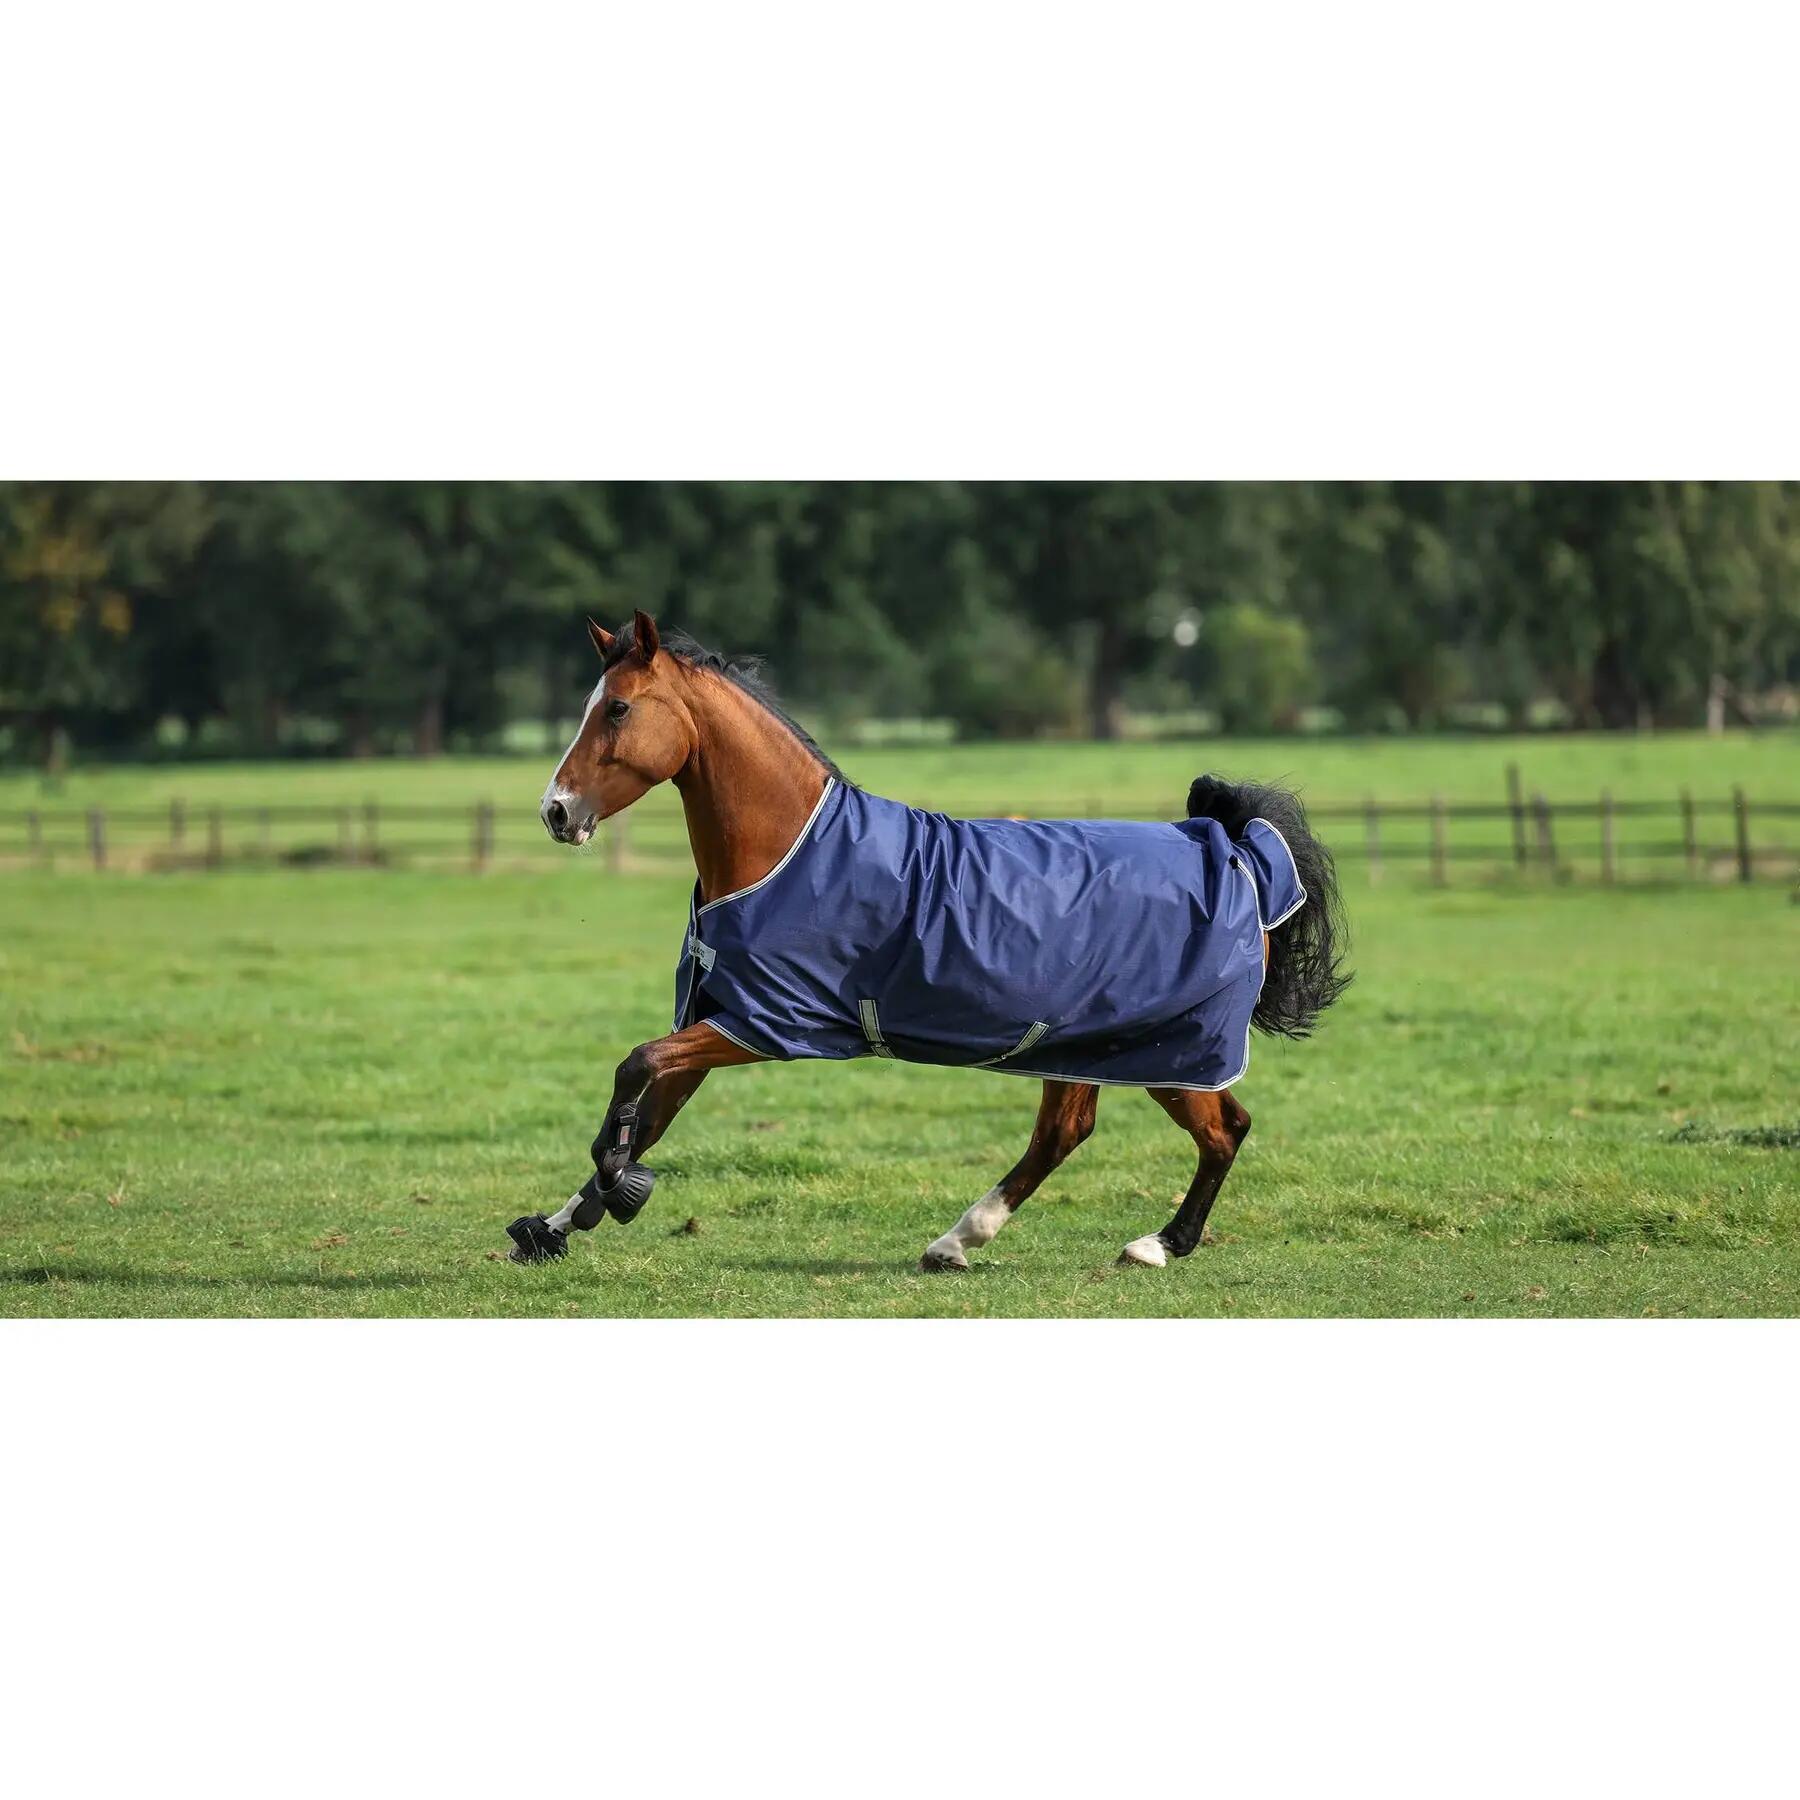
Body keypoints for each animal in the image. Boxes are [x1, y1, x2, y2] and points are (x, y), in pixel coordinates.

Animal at [508, 609, 1350, 1271]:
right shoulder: (717, 1017)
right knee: (1068, 1132)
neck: (787, 852)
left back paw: (1155, 1245)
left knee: (1221, 1130)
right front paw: (556, 1224)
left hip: (1173, 1050)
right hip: (1087, 1044)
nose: (556, 811)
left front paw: (615, 1184)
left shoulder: (769, 1025)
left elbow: (636, 1070)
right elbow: (651, 1105)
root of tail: (1240, 852)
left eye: (618, 709)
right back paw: (959, 1241)